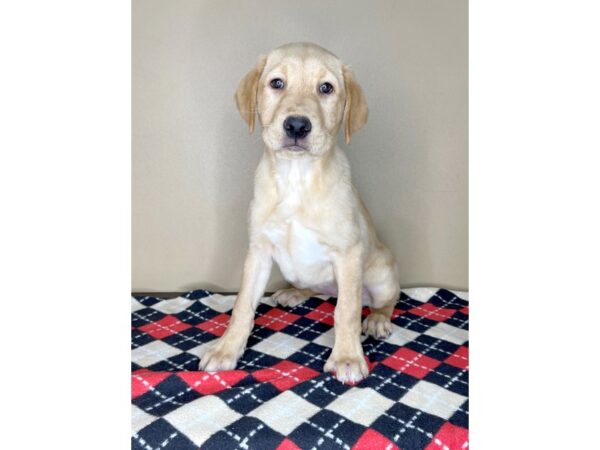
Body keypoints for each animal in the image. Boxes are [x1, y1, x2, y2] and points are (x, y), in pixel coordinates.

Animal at [199, 42, 400, 382]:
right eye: (277, 83)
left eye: (326, 88)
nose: (296, 125)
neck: (296, 178)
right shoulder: (258, 250)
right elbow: (242, 306)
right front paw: (226, 349)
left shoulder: (347, 253)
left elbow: (346, 310)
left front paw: (347, 356)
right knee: (317, 290)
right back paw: (295, 293)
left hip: (381, 274)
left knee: (382, 301)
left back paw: (375, 319)